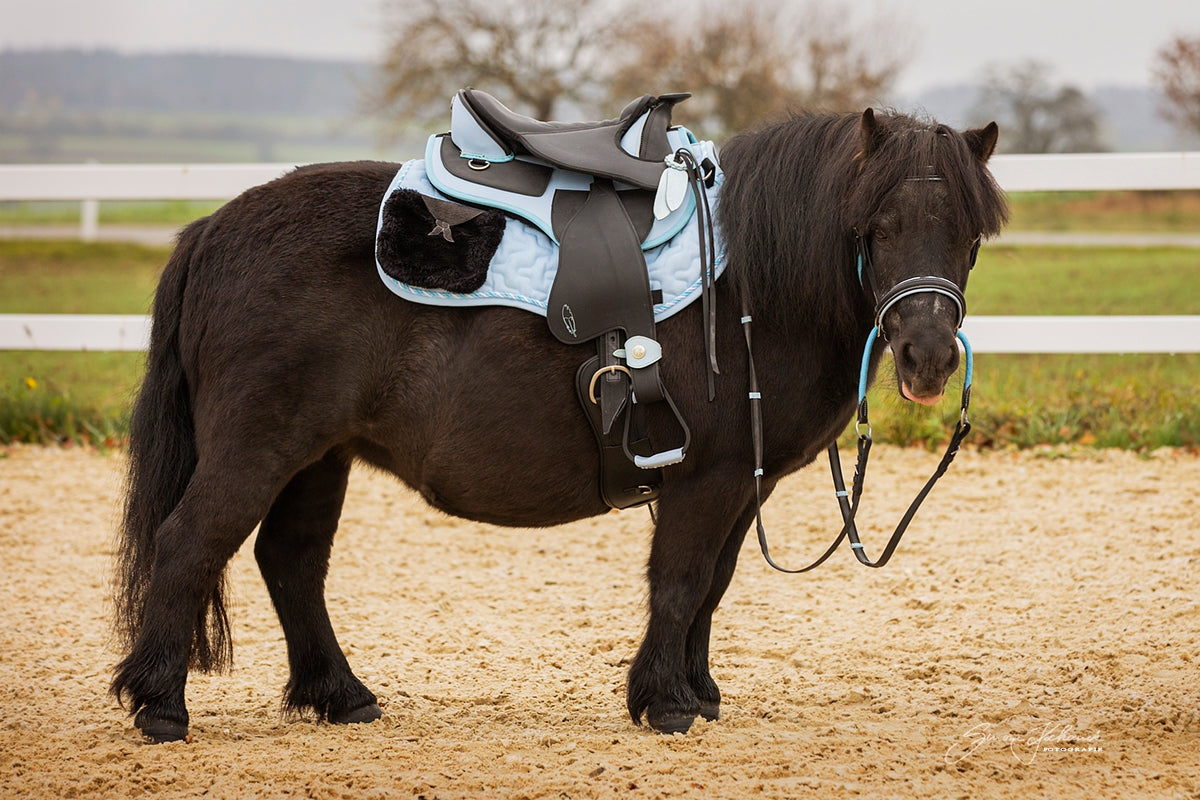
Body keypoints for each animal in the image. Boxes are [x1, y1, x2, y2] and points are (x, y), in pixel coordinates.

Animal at [114, 107, 1003, 743]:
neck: (752, 284)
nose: (927, 357)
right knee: (189, 543)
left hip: (318, 457)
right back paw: (161, 705)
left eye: (969, 234)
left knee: (291, 564)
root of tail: (214, 230)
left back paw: (341, 695)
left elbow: (713, 587)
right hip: (259, 448)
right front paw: (665, 701)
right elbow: (681, 583)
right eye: (877, 227)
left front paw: (699, 691)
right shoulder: (704, 481)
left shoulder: (738, 489)